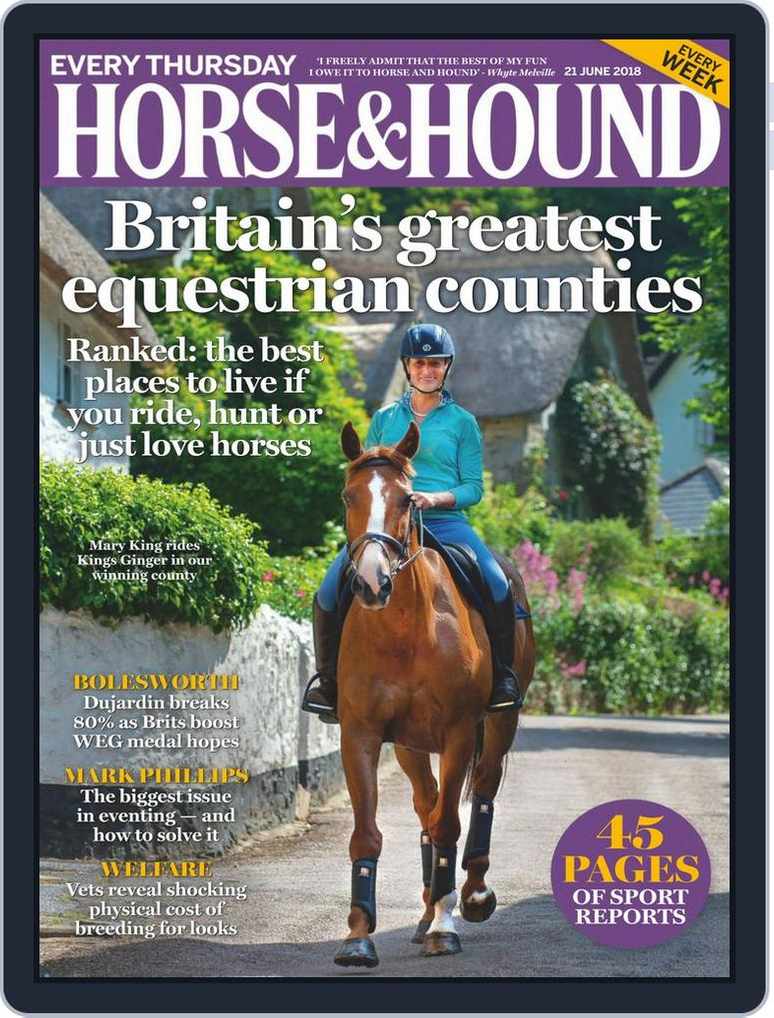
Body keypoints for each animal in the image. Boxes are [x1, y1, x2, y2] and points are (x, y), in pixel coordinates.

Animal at [330, 420, 535, 968]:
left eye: (407, 499)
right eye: (348, 496)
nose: (372, 583)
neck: (404, 628)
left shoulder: (460, 732)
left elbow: (449, 825)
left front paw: (446, 927)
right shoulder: (361, 734)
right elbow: (369, 832)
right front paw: (358, 935)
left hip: (499, 724)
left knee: (481, 792)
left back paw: (472, 897)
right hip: (409, 745)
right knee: (426, 803)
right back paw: (425, 911)